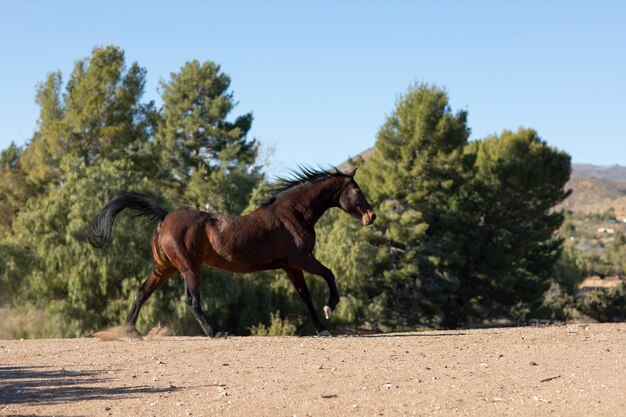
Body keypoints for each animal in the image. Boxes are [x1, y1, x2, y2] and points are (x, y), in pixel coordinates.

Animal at [84, 164, 372, 336]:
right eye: (357, 190)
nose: (372, 216)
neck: (293, 214)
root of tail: (164, 216)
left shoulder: (291, 266)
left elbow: (305, 297)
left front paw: (322, 327)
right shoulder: (301, 258)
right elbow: (329, 274)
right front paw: (330, 307)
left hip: (165, 269)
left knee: (142, 292)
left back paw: (130, 331)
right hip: (190, 268)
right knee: (192, 300)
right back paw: (215, 332)